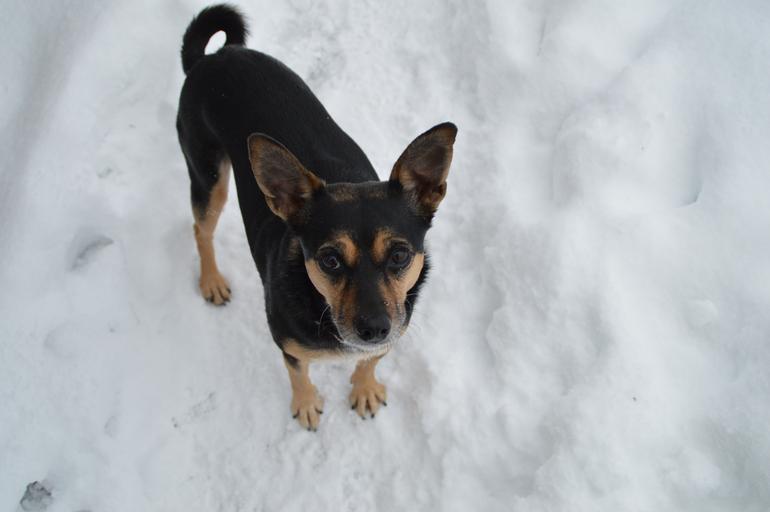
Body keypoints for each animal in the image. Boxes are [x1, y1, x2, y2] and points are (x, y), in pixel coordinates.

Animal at [177, 4, 457, 430]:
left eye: (399, 256)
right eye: (330, 260)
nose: (373, 328)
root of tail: (213, 57)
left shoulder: (397, 323)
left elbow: (372, 359)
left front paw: (364, 388)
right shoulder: (287, 343)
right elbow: (298, 372)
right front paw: (306, 404)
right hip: (207, 174)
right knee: (200, 227)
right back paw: (212, 281)